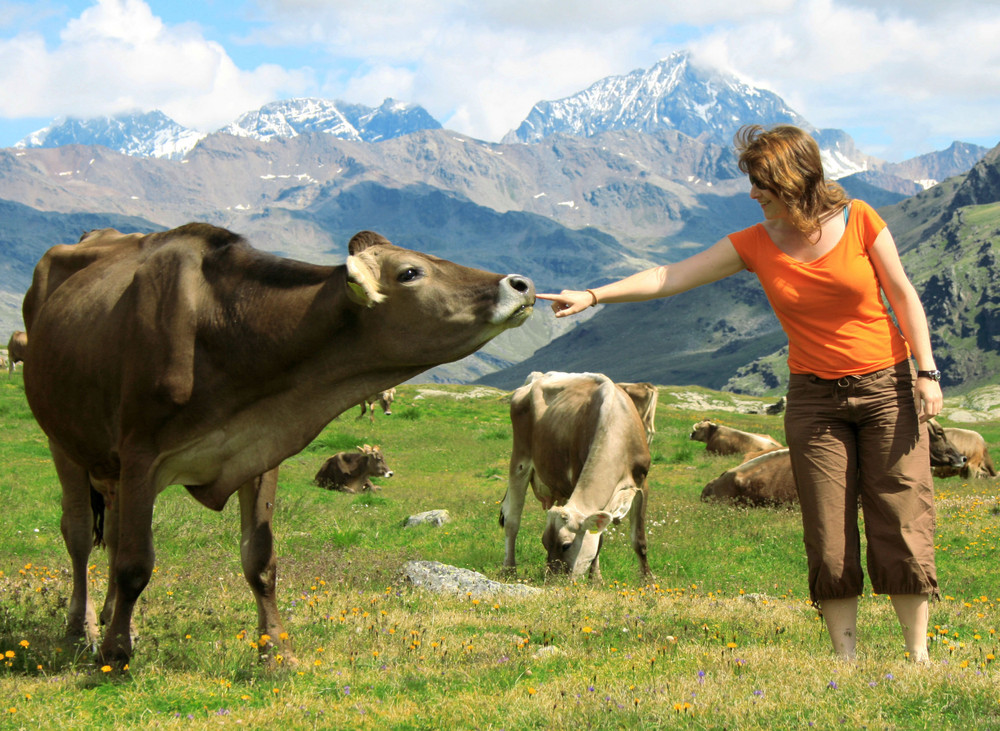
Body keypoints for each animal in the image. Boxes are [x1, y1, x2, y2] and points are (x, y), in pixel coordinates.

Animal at [19, 224, 536, 668]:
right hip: (64, 441)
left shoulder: (258, 450)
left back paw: (113, 618)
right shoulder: (141, 455)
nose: (521, 283)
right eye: (411, 272)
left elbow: (260, 559)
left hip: (107, 467)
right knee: (80, 533)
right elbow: (135, 561)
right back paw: (83, 628)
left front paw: (276, 651)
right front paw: (116, 653)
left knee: (110, 530)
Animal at [500, 374, 656, 580]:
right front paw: (595, 579)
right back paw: (509, 569)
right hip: (520, 460)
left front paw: (648, 581)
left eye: (565, 545)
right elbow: (599, 540)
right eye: (545, 543)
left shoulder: (641, 484)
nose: (552, 581)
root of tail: (538, 376)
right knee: (512, 520)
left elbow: (639, 540)